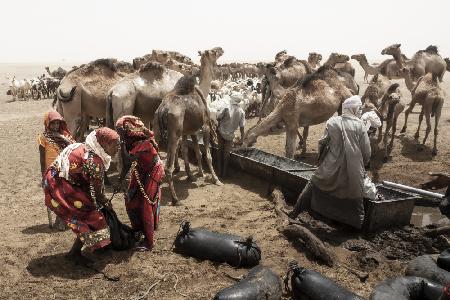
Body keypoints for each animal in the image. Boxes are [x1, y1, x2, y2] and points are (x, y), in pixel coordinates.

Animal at [153, 47, 225, 204]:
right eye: (212, 52)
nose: (221, 49)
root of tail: (162, 111)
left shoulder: (188, 131)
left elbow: (190, 151)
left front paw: (193, 175)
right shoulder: (205, 126)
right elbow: (207, 155)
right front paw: (216, 179)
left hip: (158, 131)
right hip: (174, 133)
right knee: (167, 167)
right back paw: (175, 199)